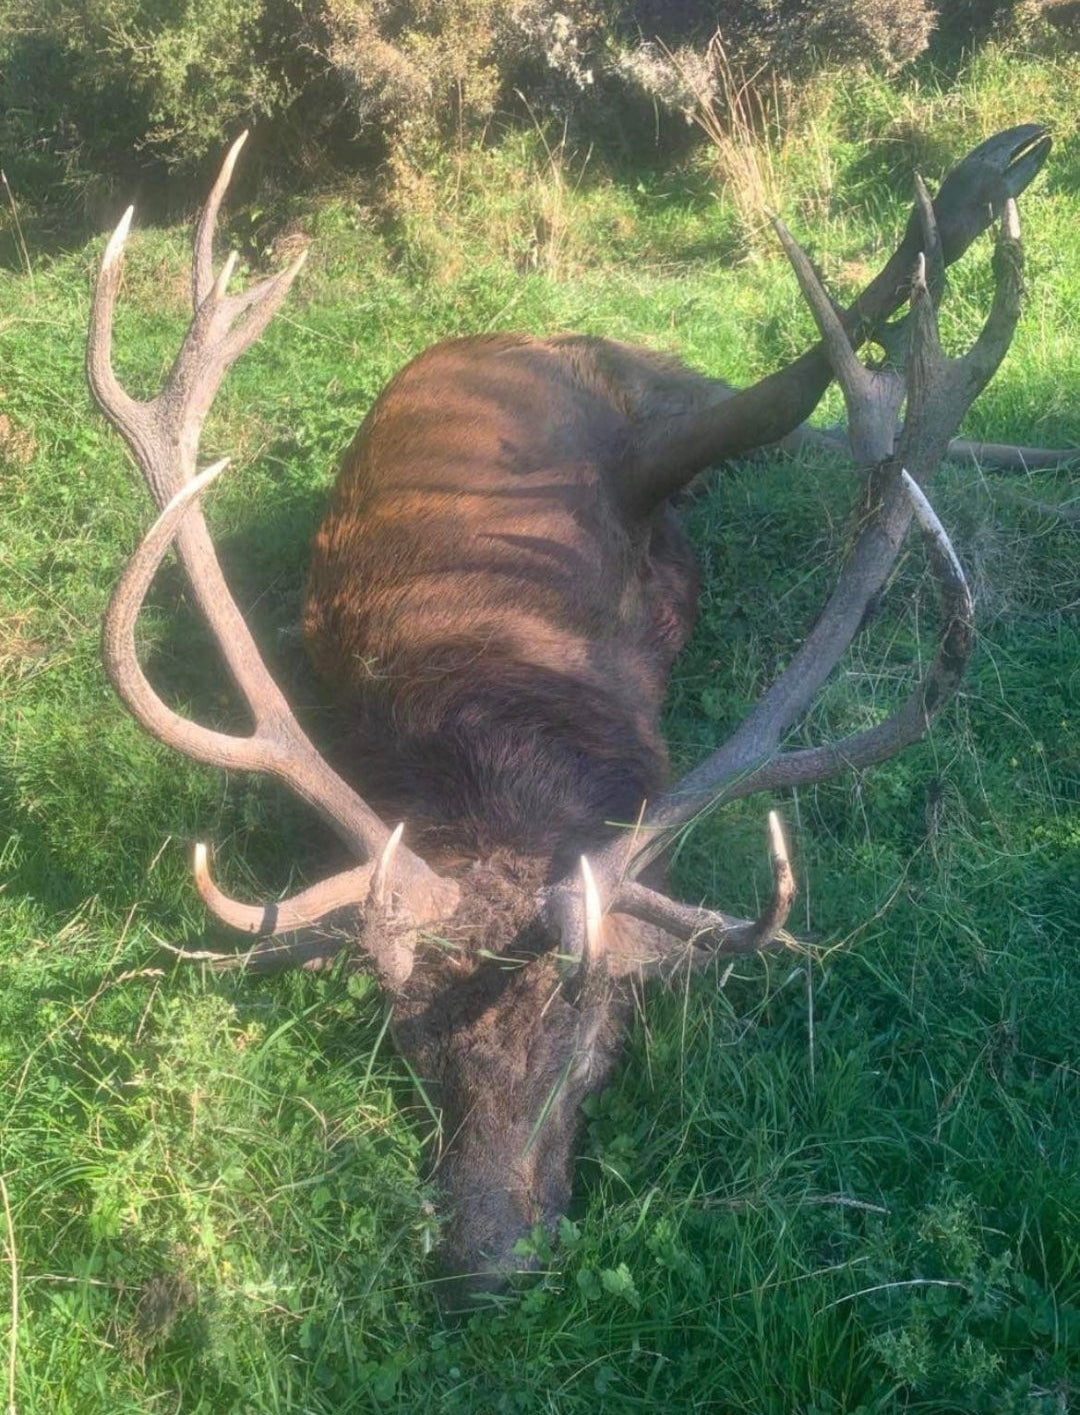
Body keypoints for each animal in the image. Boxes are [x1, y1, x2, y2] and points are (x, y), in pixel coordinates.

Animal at [88, 124, 1051, 1295]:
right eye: (411, 1041)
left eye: (601, 1038)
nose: (486, 1259)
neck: (498, 711)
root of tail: (510, 330)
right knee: (817, 426)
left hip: (642, 403)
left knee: (792, 400)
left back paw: (977, 196)